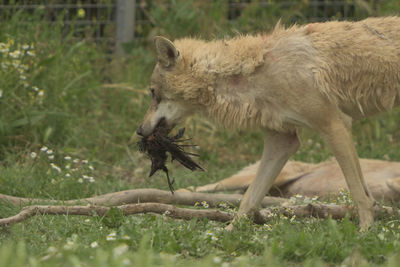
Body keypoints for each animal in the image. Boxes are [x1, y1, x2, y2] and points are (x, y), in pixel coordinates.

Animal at [138, 16, 400, 230]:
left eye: (152, 93)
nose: (139, 130)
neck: (257, 74)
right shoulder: (283, 141)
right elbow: (249, 200)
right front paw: (228, 233)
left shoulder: (335, 125)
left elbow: (359, 193)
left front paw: (365, 232)